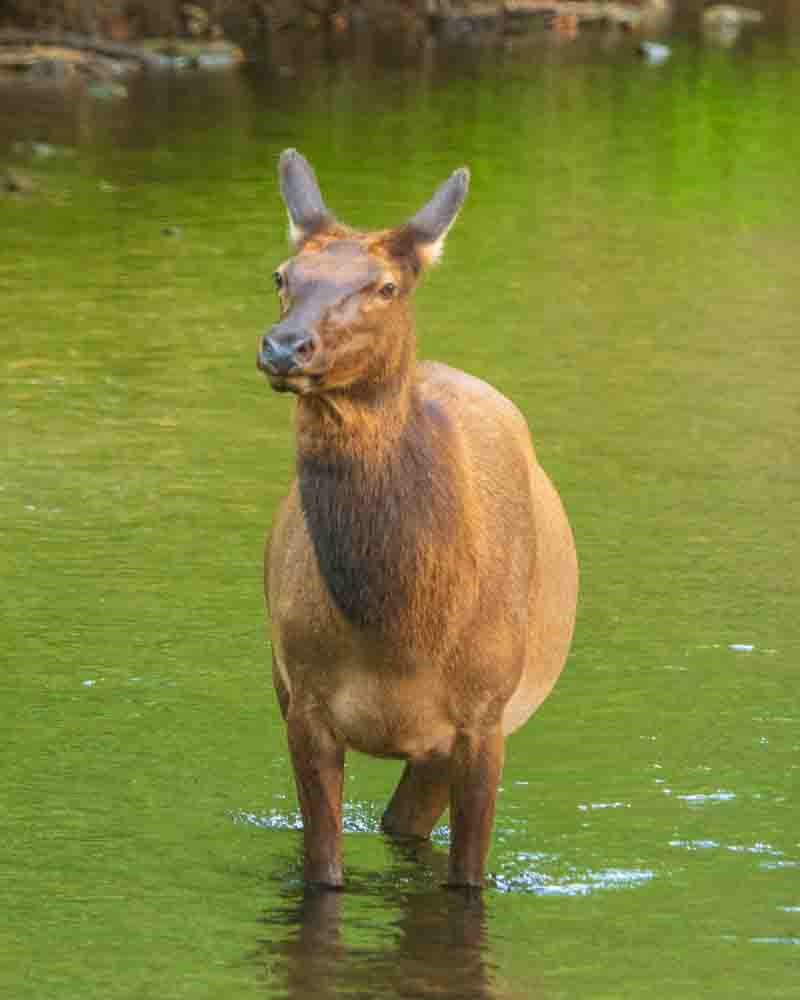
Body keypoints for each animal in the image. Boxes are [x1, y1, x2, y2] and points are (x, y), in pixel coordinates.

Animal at [260, 150, 580, 892]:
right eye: (283, 276)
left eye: (385, 286)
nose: (286, 347)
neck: (402, 628)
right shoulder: (304, 701)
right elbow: (323, 872)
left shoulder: (484, 719)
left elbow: (468, 880)